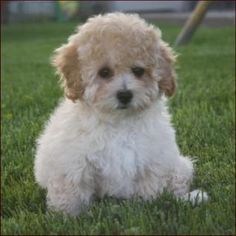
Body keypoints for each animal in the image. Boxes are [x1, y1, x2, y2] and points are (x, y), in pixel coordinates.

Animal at [34, 12, 207, 216]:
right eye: (104, 72)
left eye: (138, 71)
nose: (125, 95)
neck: (119, 122)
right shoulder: (72, 162)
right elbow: (70, 190)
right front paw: (66, 215)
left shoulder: (152, 160)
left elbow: (149, 189)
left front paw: (146, 206)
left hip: (179, 165)